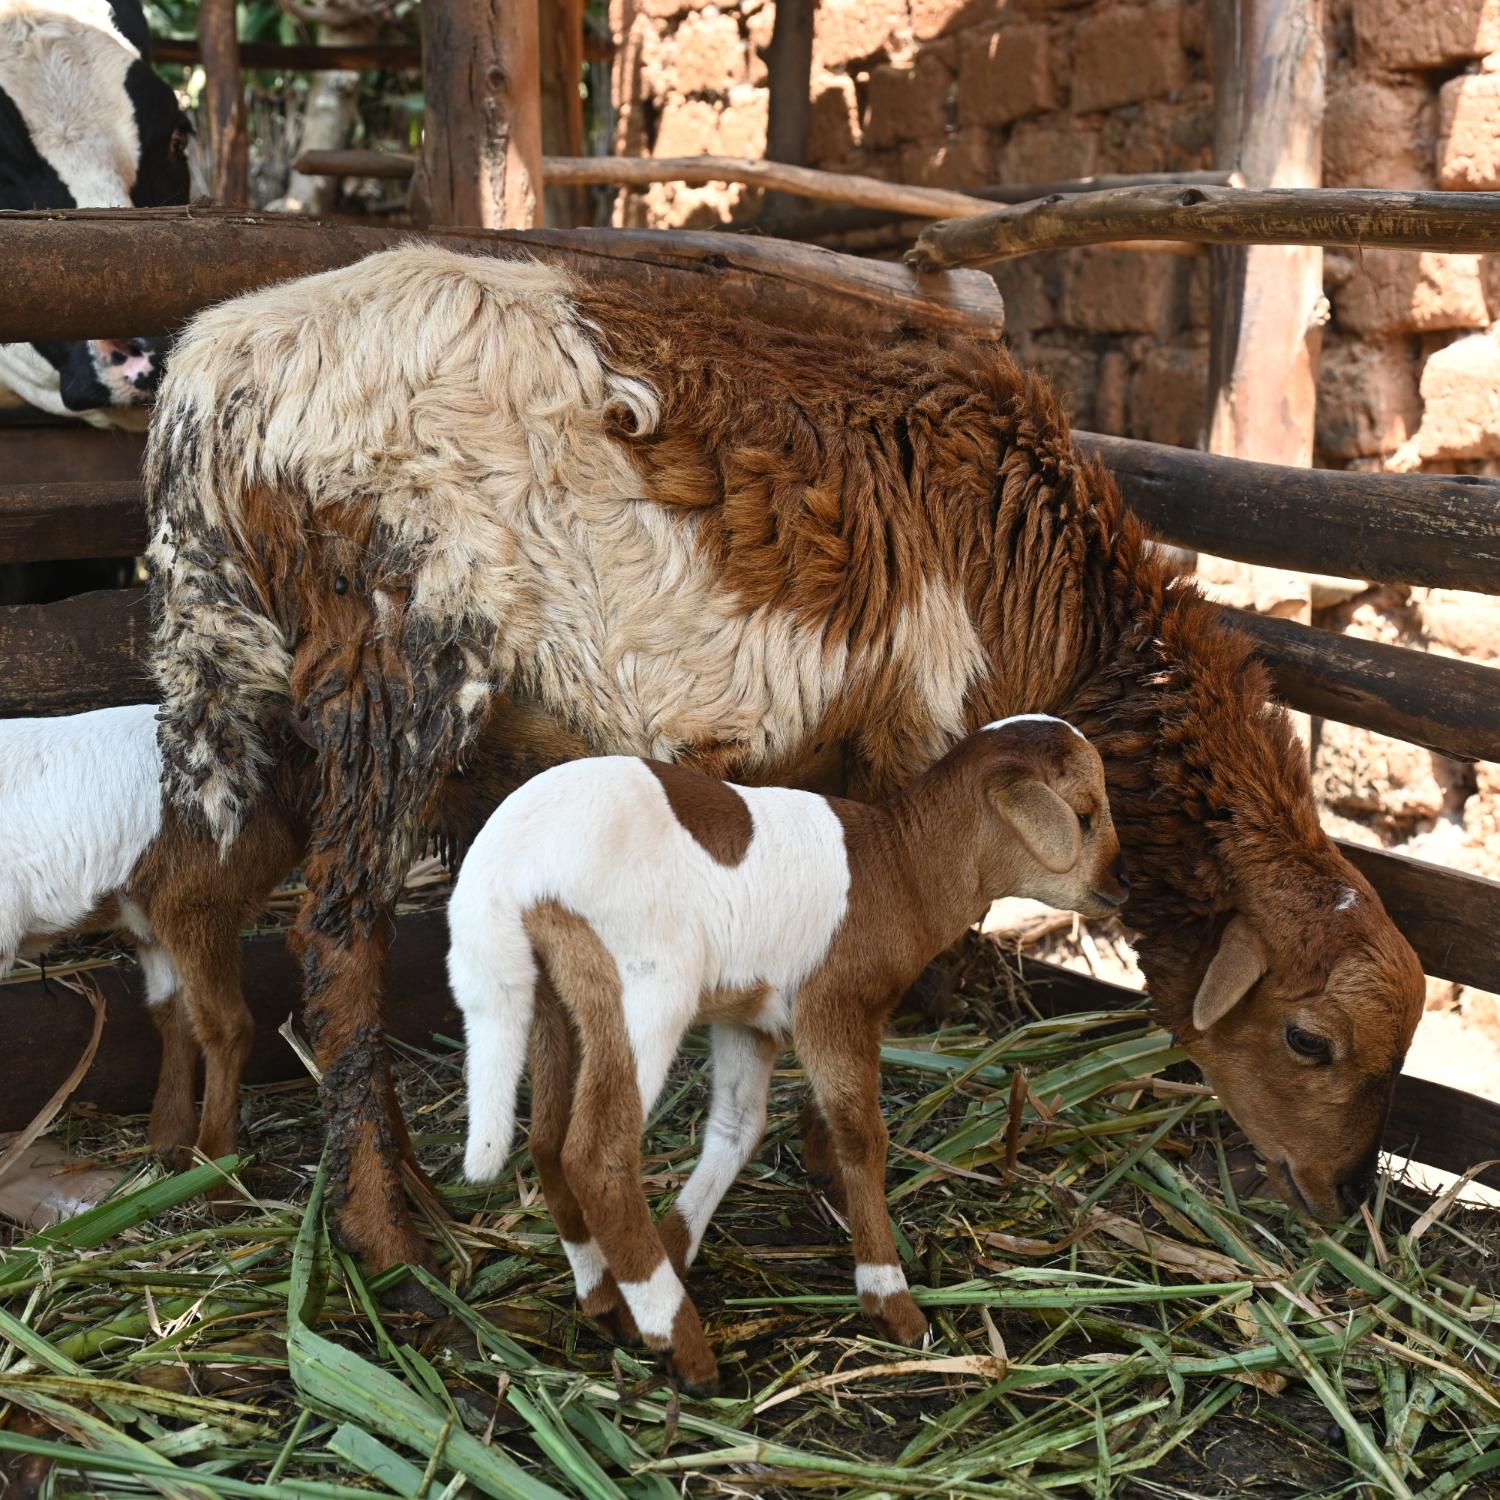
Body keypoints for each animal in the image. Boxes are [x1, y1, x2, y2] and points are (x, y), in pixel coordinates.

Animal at [0, 704, 305, 1163]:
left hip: (193, 902)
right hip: (156, 911)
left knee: (223, 1024)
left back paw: (213, 1162)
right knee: (179, 1011)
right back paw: (175, 1144)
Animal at [145, 243, 1426, 1274]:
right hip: (400, 654)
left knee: (210, 896)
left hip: (256, 681)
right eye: (1312, 1041)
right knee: (336, 940)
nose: (1346, 1198)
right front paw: (833, 1156)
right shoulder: (919, 740)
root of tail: (212, 386)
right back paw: (384, 1232)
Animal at [451, 717, 1126, 1392]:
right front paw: (889, 1300)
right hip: (646, 987)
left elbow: (737, 1129)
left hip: (554, 1000)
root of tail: (499, 873)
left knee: (547, 1141)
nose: (1119, 887)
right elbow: (862, 1136)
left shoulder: (748, 1019)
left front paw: (677, 1244)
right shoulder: (835, 1003)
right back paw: (682, 1345)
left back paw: (605, 1299)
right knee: (596, 1156)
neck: (906, 866)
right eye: (1085, 815)